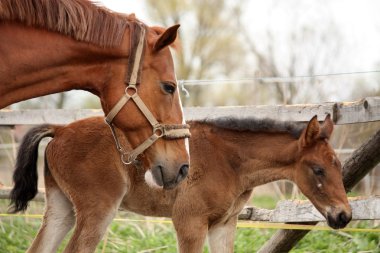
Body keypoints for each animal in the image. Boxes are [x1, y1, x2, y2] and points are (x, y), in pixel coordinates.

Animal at [10, 115, 352, 253]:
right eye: (318, 169)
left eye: (338, 166)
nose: (344, 215)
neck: (229, 159)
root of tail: (60, 129)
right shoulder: (190, 221)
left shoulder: (223, 225)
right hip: (98, 210)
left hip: (61, 207)